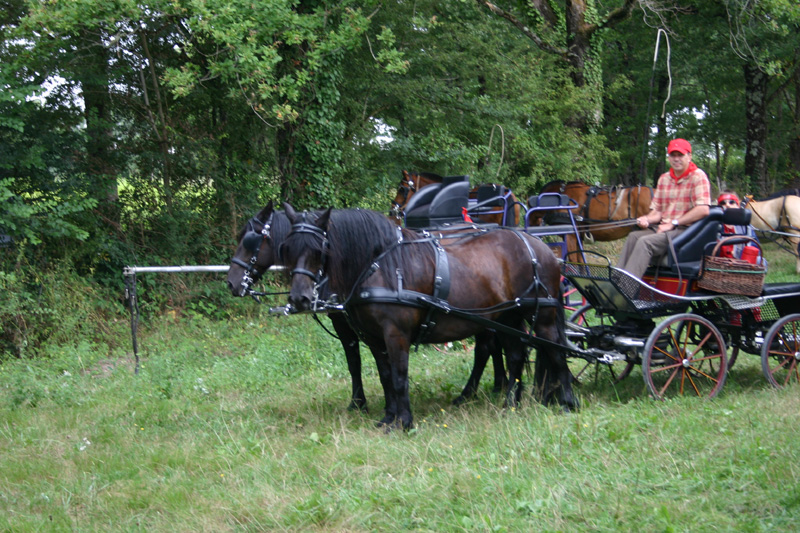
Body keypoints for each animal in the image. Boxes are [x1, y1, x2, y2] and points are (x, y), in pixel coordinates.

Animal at [226, 201, 508, 410]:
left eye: (250, 241)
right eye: (288, 248)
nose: (231, 282)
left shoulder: (347, 322)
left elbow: (356, 361)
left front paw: (359, 403)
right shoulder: (350, 321)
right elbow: (361, 363)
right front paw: (366, 403)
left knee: (486, 347)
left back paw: (482, 390)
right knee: (491, 346)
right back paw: (497, 385)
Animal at [281, 204, 576, 430]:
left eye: (320, 249)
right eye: (288, 248)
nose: (299, 299)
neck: (381, 267)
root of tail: (540, 247)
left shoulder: (395, 334)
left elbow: (399, 376)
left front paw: (404, 422)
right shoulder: (374, 338)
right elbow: (385, 376)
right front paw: (388, 417)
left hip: (543, 316)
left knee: (556, 353)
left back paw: (568, 403)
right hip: (507, 319)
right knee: (514, 356)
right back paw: (510, 404)